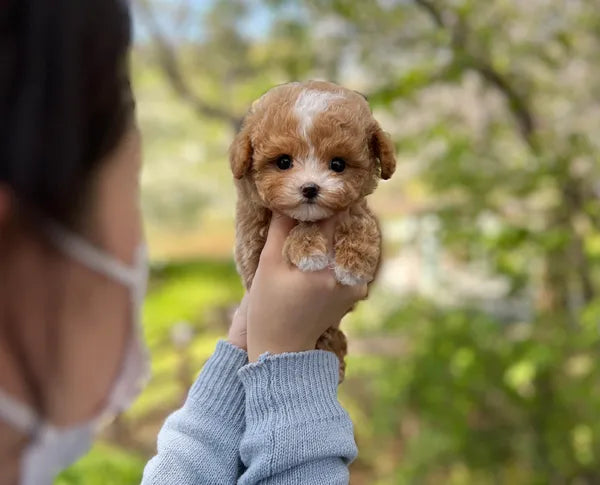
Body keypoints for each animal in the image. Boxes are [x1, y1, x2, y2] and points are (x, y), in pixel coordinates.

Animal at [229, 81, 394, 380]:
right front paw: (308, 250)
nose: (309, 188)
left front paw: (353, 264)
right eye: (283, 162)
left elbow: (361, 223)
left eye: (338, 164)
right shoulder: (252, 249)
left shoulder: (358, 212)